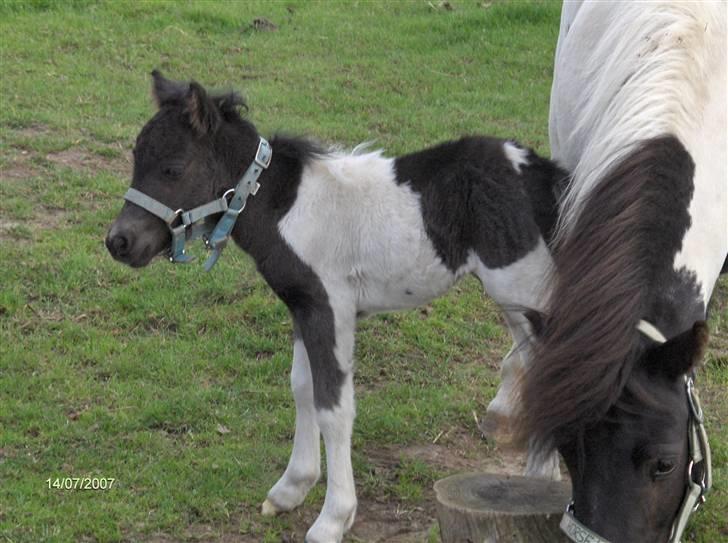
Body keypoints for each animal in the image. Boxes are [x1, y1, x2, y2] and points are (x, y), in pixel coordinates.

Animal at [105, 72, 564, 543]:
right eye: (136, 159)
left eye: (173, 169)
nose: (118, 242)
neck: (283, 207)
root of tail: (541, 172)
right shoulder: (302, 307)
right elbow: (302, 388)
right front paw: (291, 488)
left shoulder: (330, 307)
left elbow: (334, 405)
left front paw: (333, 518)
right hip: (517, 301)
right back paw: (538, 478)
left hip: (526, 289)